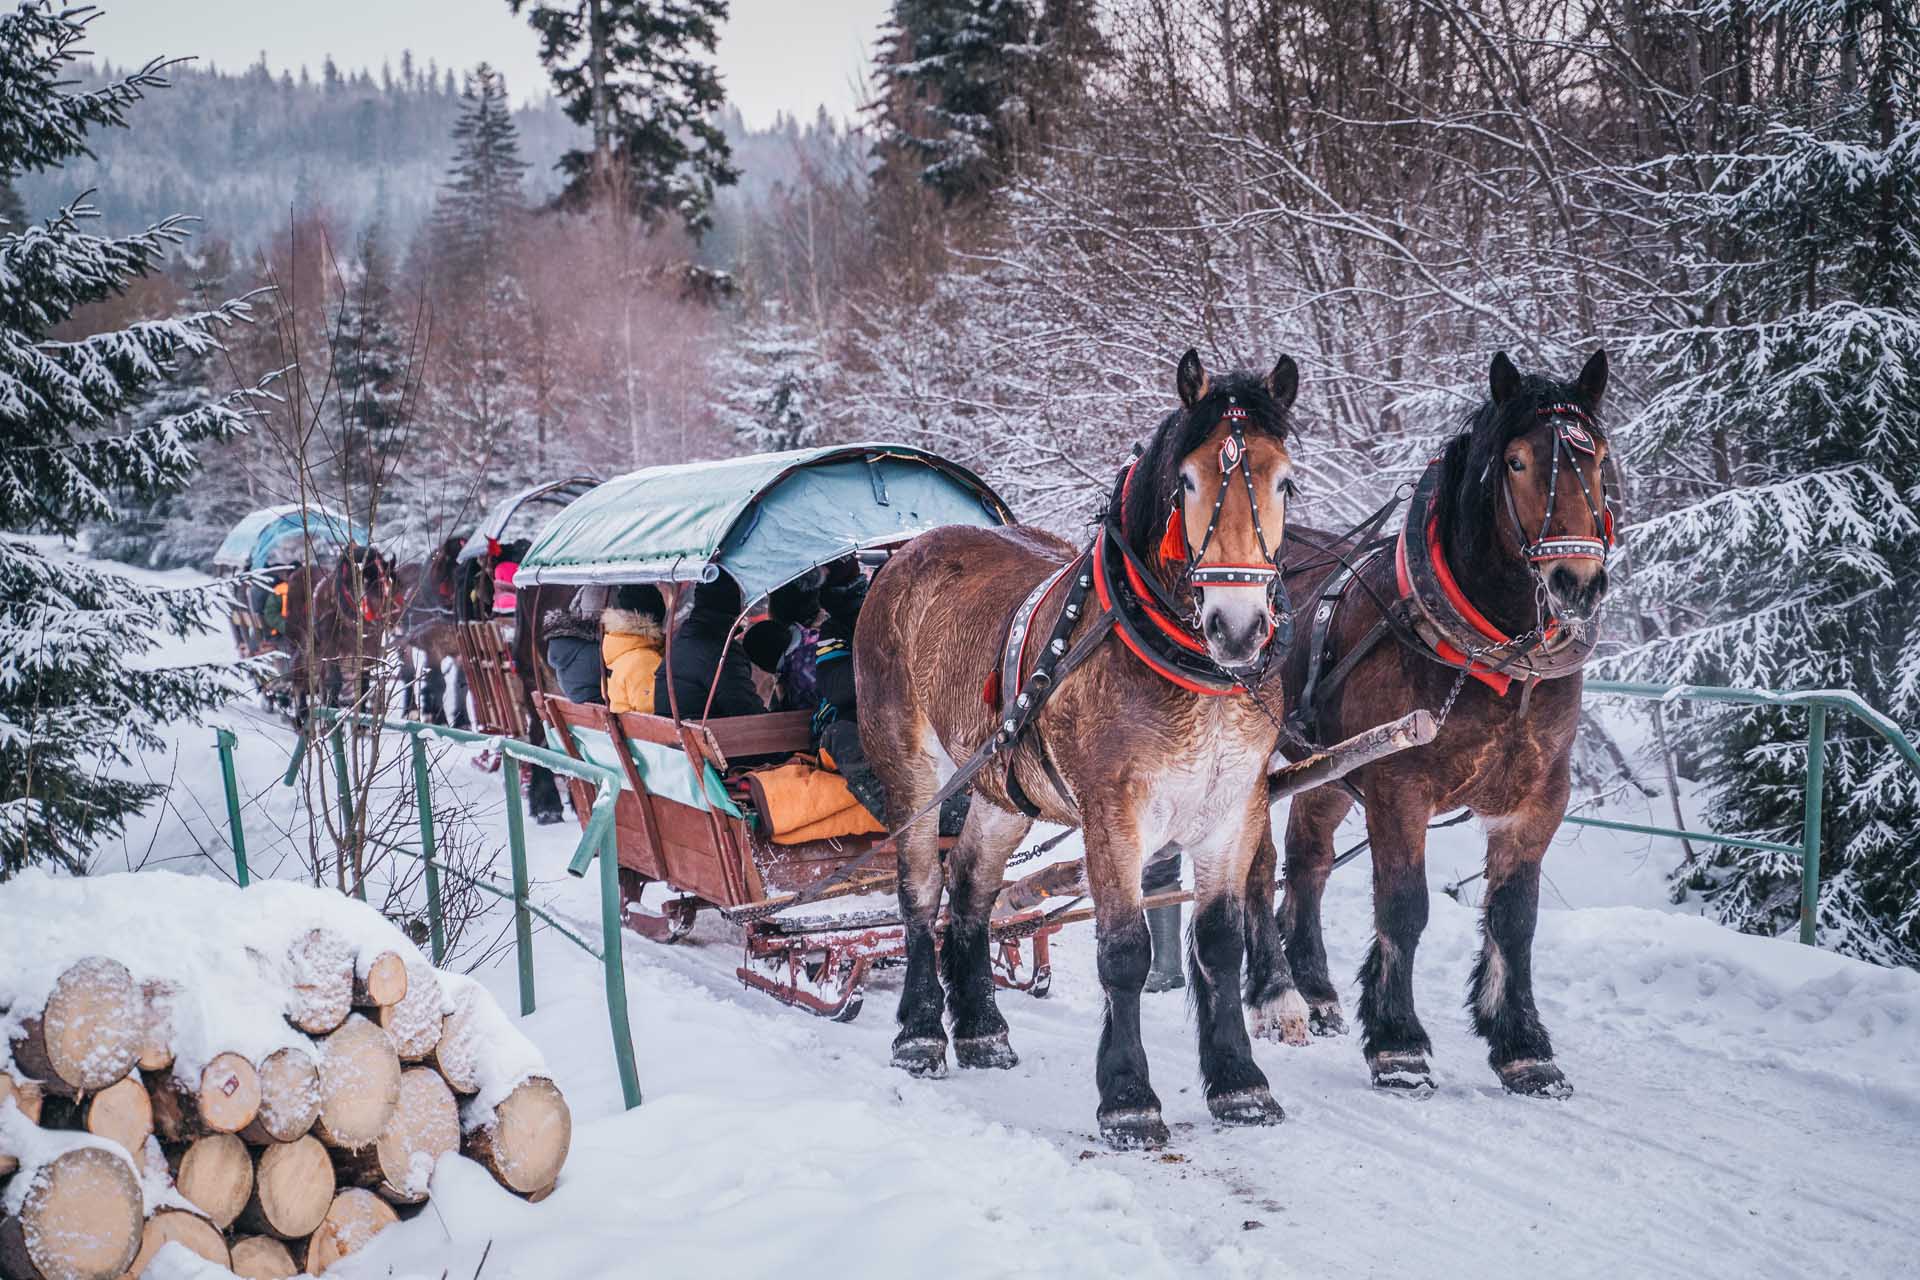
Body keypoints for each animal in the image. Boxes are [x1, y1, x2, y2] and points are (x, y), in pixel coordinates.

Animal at [855, 349, 1303, 1148]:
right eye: (1188, 481)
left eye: (1284, 480)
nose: (1238, 627)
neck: (1185, 666)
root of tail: (905, 554)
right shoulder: (1115, 816)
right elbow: (1125, 951)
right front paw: (1128, 1098)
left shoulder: (1236, 810)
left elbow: (1221, 943)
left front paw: (1240, 1085)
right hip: (913, 772)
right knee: (921, 892)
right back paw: (920, 1034)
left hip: (1003, 788)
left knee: (971, 889)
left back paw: (981, 1029)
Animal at [1242, 349, 1617, 1099]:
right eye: (1517, 462)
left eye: (1598, 458)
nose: (1576, 582)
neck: (1495, 660)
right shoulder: (1398, 787)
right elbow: (1404, 906)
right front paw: (1398, 1043)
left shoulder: (1539, 799)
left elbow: (1514, 918)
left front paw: (1523, 1046)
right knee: (1258, 861)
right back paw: (1275, 991)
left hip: (1327, 769)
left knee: (1308, 861)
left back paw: (1314, 989)